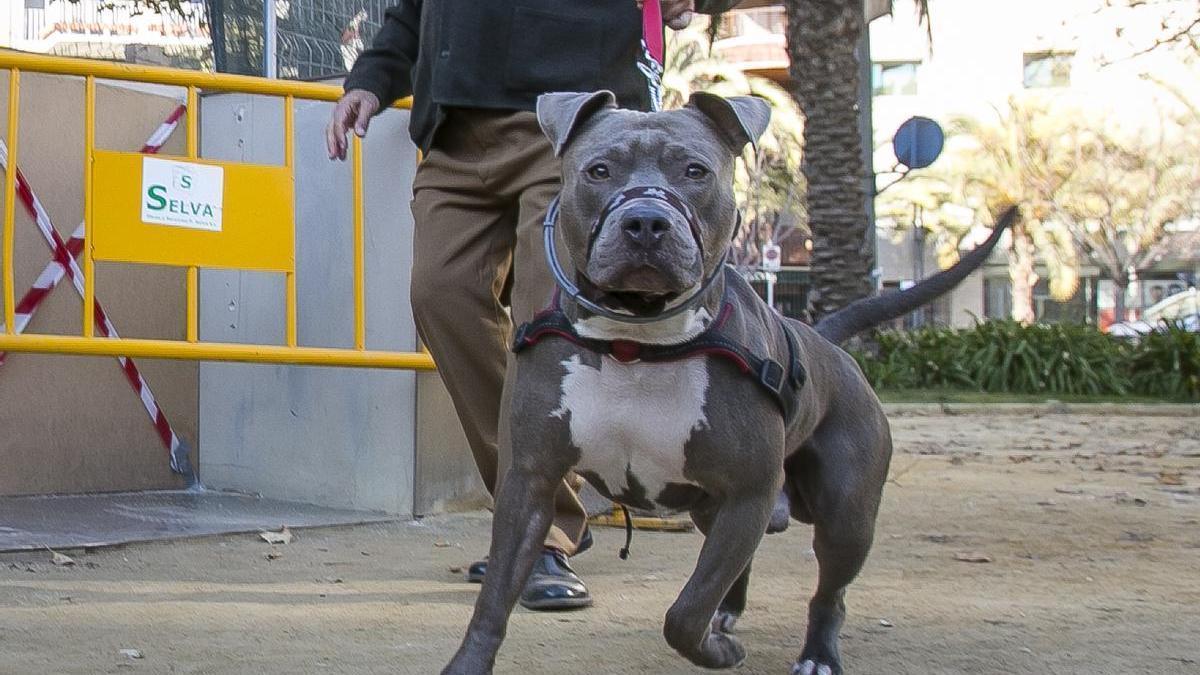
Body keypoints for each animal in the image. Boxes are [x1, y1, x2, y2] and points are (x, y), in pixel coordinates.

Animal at [441, 90, 1012, 672]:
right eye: (599, 171)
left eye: (696, 171)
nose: (646, 221)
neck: (635, 343)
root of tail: (822, 338)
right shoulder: (531, 481)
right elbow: (494, 599)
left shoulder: (748, 493)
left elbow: (684, 611)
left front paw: (714, 650)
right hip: (716, 507)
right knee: (739, 566)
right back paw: (730, 614)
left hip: (845, 512)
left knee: (827, 590)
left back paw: (816, 653)